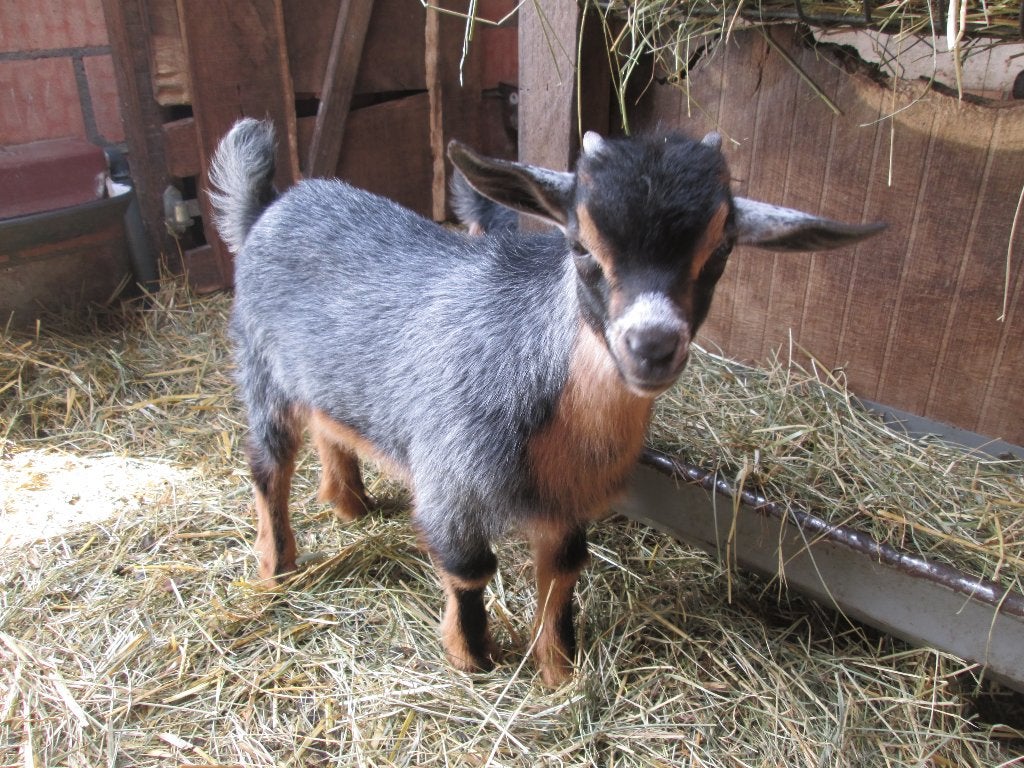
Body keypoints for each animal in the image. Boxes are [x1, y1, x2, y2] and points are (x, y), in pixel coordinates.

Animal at [208, 118, 884, 687]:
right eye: (581, 247)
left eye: (720, 252)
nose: (652, 346)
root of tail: (269, 208)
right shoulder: (449, 479)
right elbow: (470, 570)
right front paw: (472, 660)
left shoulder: (568, 499)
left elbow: (563, 572)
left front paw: (559, 671)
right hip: (262, 369)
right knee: (268, 465)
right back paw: (277, 569)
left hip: (325, 382)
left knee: (331, 430)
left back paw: (349, 505)